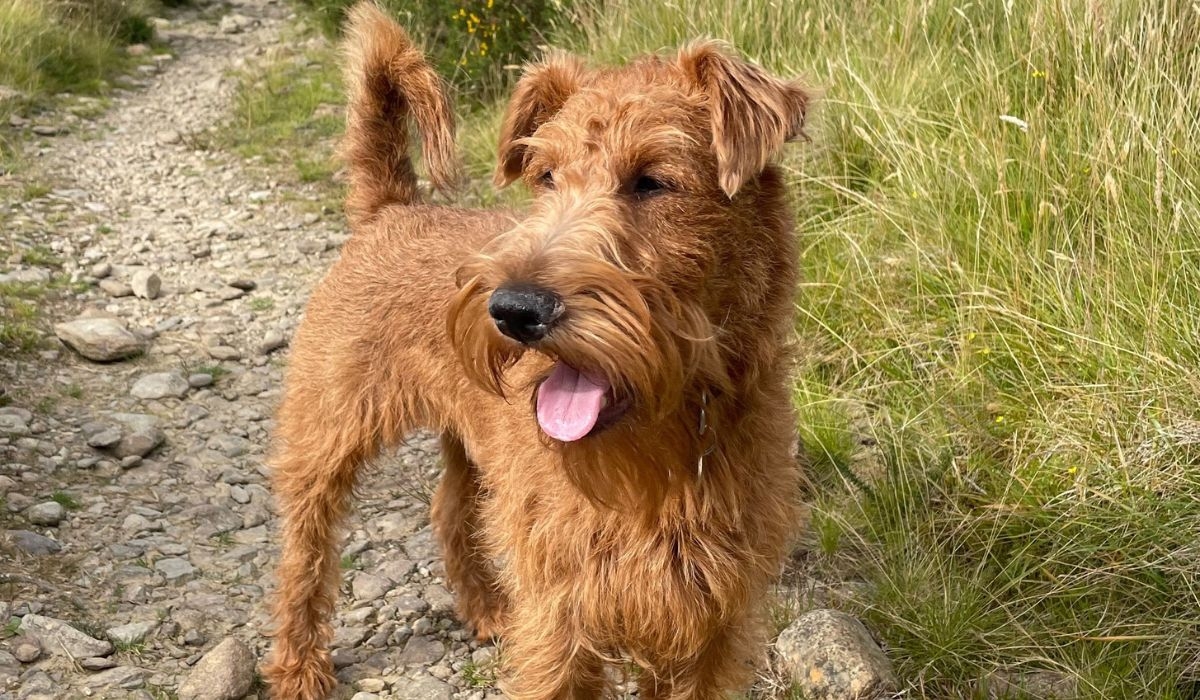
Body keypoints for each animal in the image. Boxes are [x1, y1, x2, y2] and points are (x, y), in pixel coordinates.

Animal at [265, 2, 816, 696]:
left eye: (653, 181)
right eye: (545, 176)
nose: (514, 310)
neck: (670, 447)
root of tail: (389, 210)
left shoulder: (714, 622)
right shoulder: (560, 617)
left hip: (468, 442)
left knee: (449, 510)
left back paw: (485, 609)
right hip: (326, 434)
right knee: (303, 556)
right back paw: (298, 668)